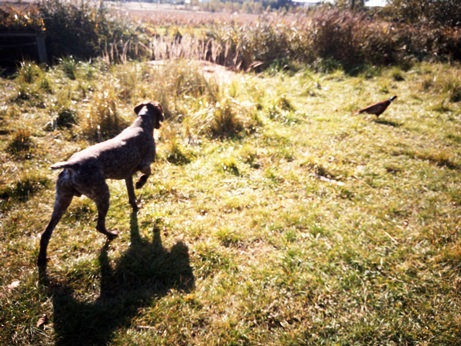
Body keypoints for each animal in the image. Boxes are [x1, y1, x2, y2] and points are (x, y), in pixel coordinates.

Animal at [38, 100, 164, 264]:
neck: (142, 122)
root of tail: (72, 166)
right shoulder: (145, 164)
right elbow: (147, 174)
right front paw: (140, 184)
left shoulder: (127, 175)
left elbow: (132, 196)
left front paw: (135, 206)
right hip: (103, 195)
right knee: (99, 225)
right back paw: (111, 235)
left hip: (62, 201)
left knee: (46, 234)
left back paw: (41, 259)